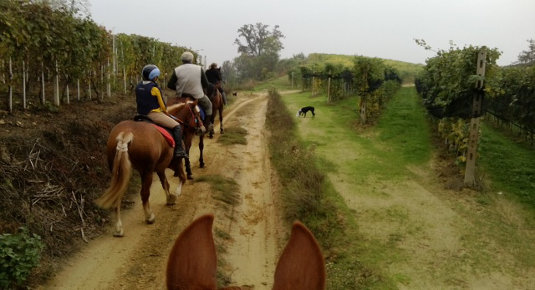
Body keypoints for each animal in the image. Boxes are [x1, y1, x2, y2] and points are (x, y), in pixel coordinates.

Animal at [94, 102, 199, 238]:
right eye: (196, 114)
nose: (201, 129)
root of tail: (126, 133)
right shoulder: (175, 163)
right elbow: (182, 177)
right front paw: (175, 195)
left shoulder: (159, 167)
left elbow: (165, 183)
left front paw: (169, 198)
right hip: (148, 171)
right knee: (144, 193)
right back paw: (149, 216)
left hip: (118, 172)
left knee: (118, 195)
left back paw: (118, 228)